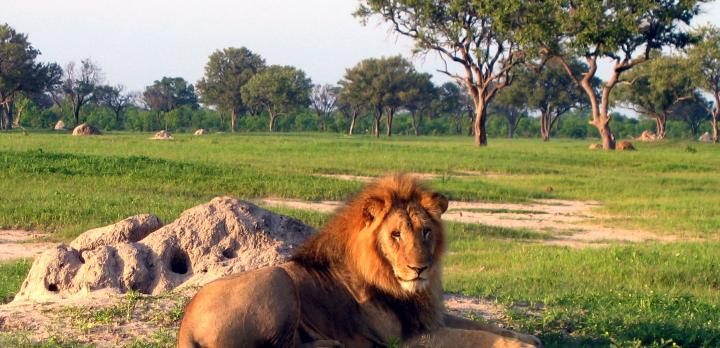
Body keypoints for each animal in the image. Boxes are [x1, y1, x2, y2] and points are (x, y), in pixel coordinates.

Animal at [179, 175, 540, 346]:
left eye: (426, 231)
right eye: (395, 234)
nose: (419, 268)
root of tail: (185, 324)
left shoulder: (427, 319)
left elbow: (482, 326)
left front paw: (528, 337)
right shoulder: (401, 340)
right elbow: (473, 338)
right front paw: (522, 345)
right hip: (276, 278)